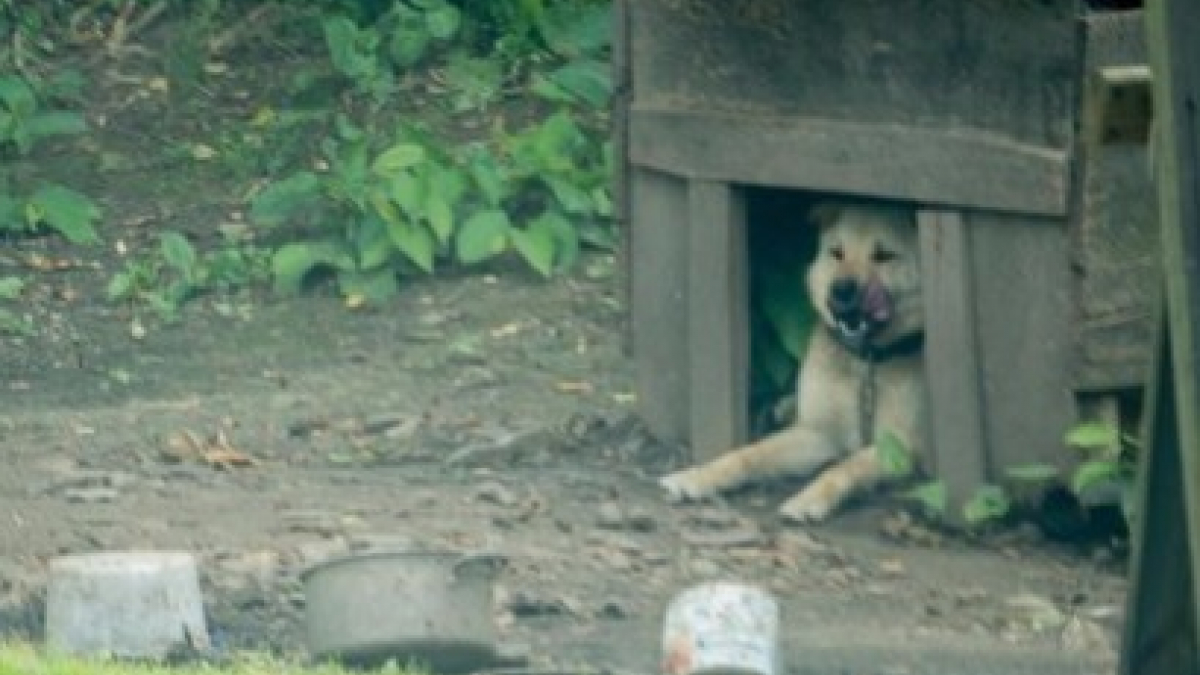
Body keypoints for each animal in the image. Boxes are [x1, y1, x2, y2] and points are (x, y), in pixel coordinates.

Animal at [657, 201, 926, 523]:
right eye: (837, 252)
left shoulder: (901, 449)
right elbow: (750, 453)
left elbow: (843, 468)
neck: (864, 363)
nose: (841, 290)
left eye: (884, 256)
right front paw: (700, 475)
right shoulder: (817, 433)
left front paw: (809, 498)